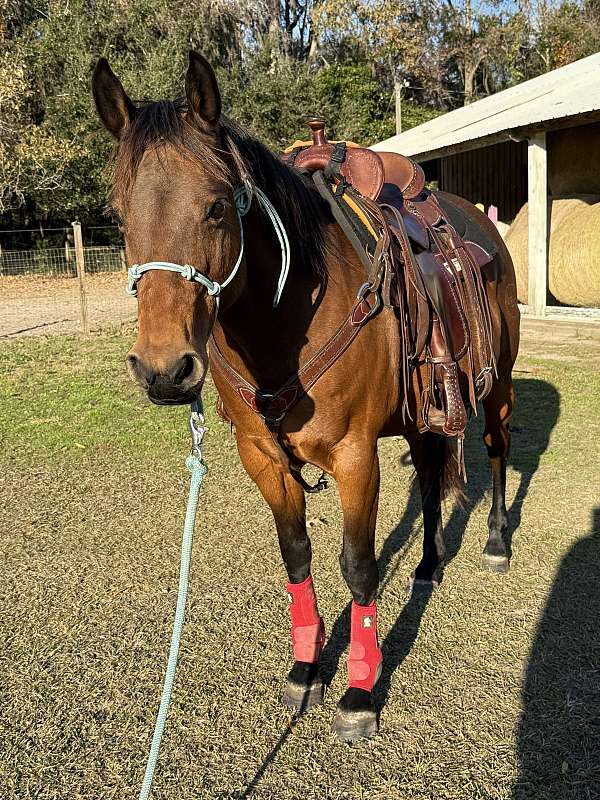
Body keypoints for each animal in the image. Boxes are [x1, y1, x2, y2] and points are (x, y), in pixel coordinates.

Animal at [92, 51, 520, 741]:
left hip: (498, 384)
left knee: (498, 450)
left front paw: (360, 691)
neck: (285, 324)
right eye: (118, 213)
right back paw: (428, 562)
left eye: (217, 208)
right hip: (426, 408)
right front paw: (305, 668)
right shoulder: (262, 457)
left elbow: (359, 565)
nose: (164, 369)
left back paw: (497, 544)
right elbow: (297, 556)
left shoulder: (355, 455)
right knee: (432, 474)